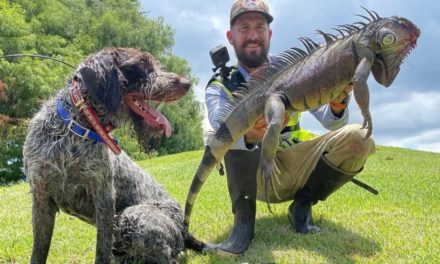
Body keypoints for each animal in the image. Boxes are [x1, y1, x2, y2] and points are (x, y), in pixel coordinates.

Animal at [22, 48, 205, 262]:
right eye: (141, 65)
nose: (187, 83)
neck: (74, 129)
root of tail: (185, 230)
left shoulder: (104, 197)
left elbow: (102, 249)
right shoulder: (41, 196)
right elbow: (39, 251)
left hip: (132, 217)